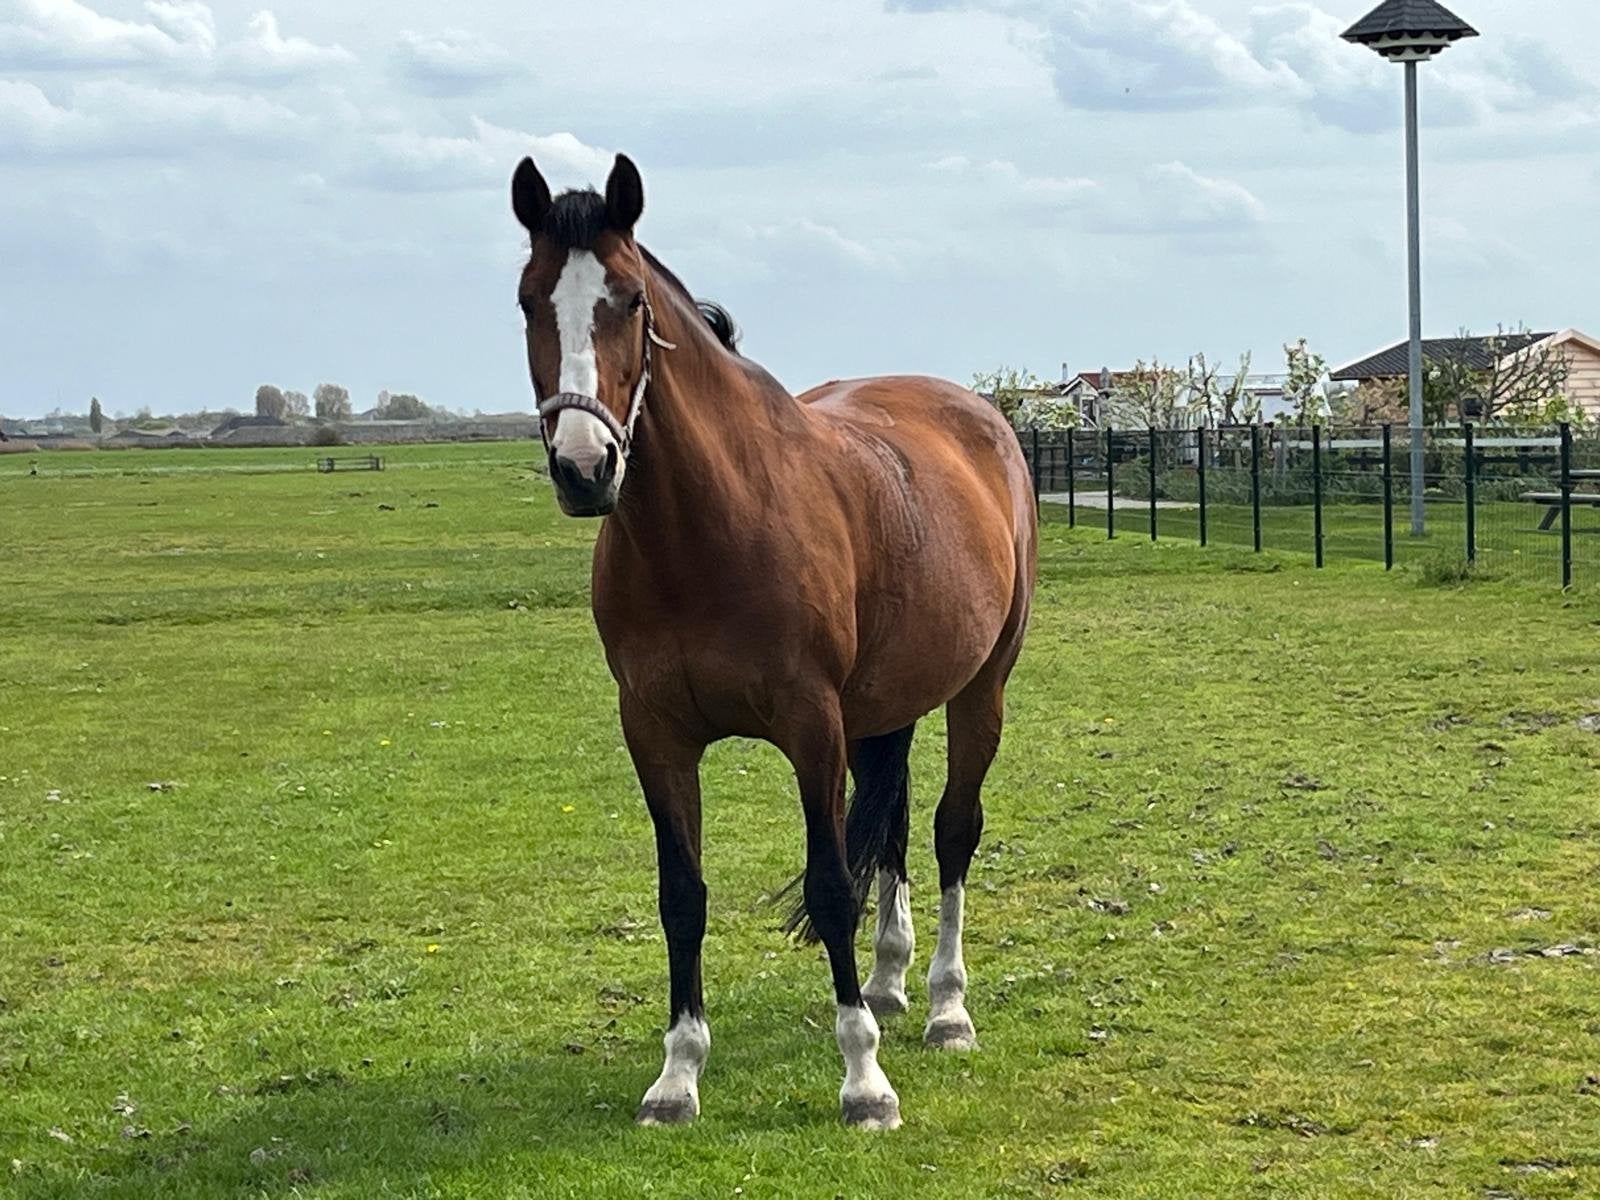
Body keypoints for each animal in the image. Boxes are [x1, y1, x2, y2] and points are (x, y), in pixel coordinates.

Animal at [511, 153, 1037, 1130]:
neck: (705, 533)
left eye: (629, 300)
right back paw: (888, 981)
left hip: (978, 689)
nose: (585, 468)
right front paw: (677, 1076)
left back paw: (945, 1006)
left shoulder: (810, 727)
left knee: (951, 831)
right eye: (529, 300)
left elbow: (829, 885)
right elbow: (682, 895)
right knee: (895, 829)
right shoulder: (656, 734)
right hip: (885, 708)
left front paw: (864, 1082)